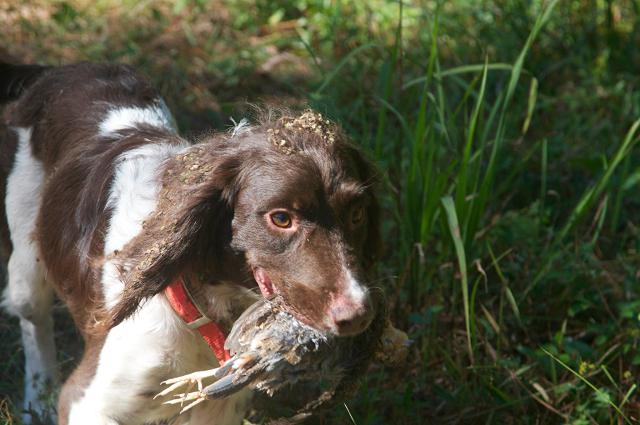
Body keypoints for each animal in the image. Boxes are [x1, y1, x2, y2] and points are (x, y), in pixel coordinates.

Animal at [0, 62, 380, 424]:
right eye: (281, 218)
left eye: (357, 214)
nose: (358, 316)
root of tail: (61, 71)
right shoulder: (87, 402)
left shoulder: (222, 402)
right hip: (27, 262)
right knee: (34, 322)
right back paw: (38, 400)